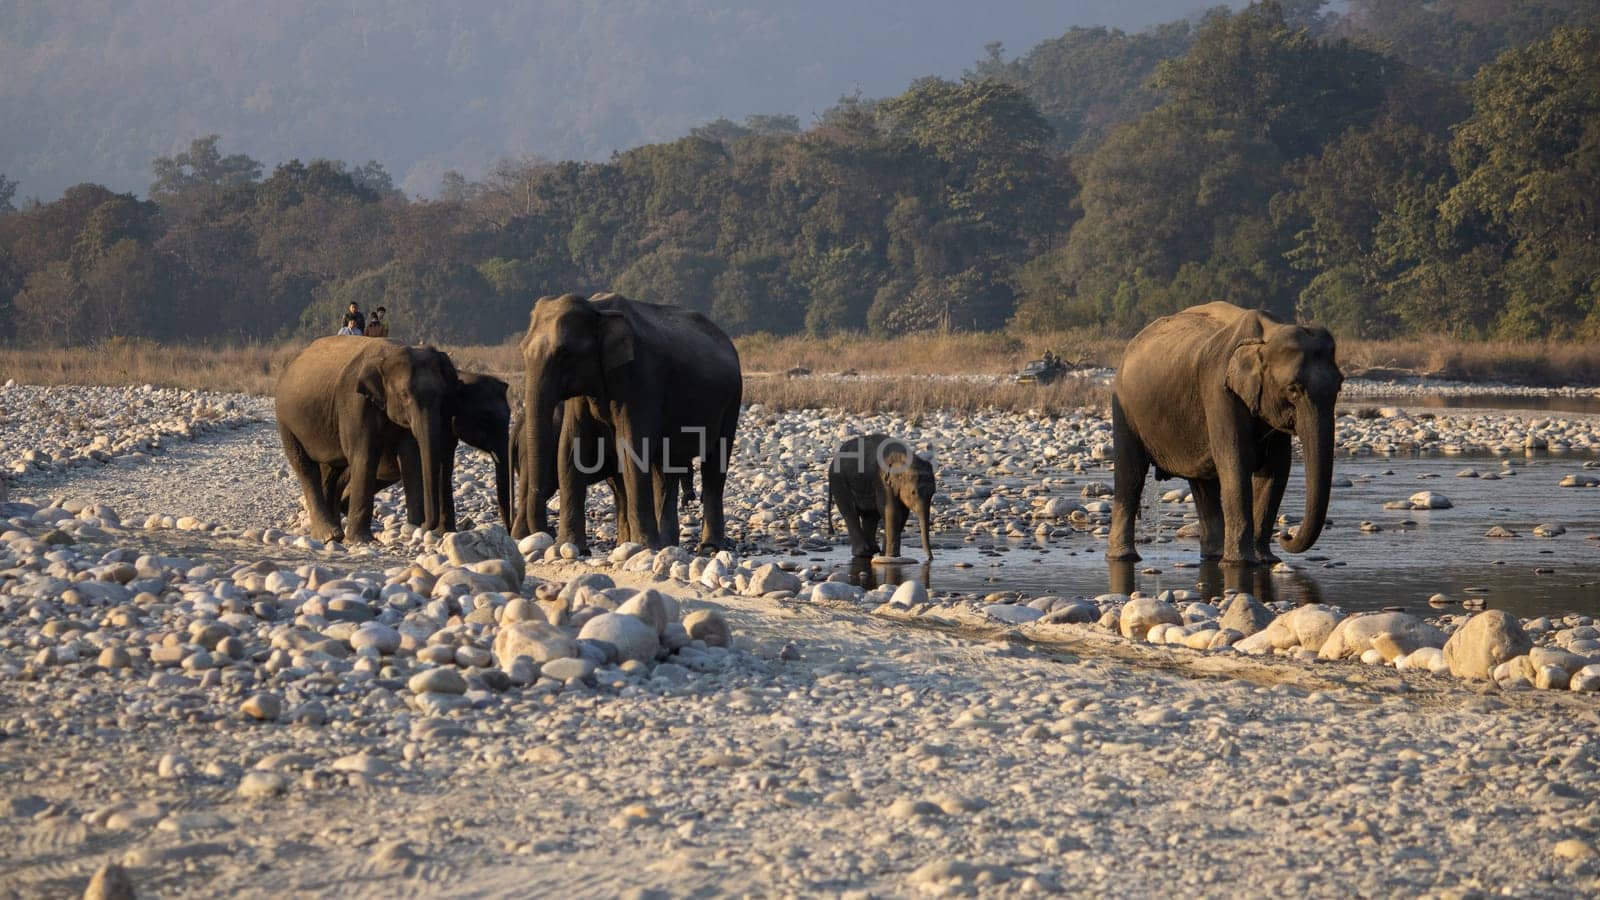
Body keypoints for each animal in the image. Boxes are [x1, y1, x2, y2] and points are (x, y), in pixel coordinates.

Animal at [275, 334, 460, 538]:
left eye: (442, 395)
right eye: (404, 395)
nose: (427, 525)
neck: (390, 353)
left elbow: (411, 457)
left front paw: (413, 528)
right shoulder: (354, 402)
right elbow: (365, 455)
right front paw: (361, 540)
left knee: (332, 473)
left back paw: (333, 532)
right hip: (286, 422)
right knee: (306, 468)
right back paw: (329, 535)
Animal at [508, 291, 739, 550]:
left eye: (565, 353)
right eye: (522, 349)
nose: (545, 534)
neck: (596, 308)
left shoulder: (640, 378)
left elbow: (631, 448)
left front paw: (643, 546)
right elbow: (571, 447)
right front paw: (570, 547)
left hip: (732, 400)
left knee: (714, 466)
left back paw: (708, 546)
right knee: (665, 473)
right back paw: (667, 544)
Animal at [1107, 301, 1344, 566]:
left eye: (1340, 386)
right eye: (1293, 389)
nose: (1285, 536)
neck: (1267, 335)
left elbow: (1277, 468)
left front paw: (1266, 560)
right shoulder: (1219, 390)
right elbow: (1236, 461)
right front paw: (1241, 563)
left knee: (1202, 485)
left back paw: (1213, 554)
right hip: (1125, 407)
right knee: (1131, 475)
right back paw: (1124, 556)